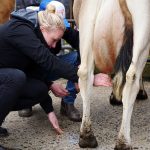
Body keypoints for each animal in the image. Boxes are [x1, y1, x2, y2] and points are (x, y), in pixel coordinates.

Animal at [73, 0, 150, 149]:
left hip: (86, 26)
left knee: (85, 73)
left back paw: (87, 136)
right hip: (143, 32)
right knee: (132, 77)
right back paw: (123, 142)